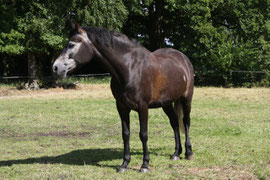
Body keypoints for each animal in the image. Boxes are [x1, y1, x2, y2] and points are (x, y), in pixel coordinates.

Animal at [52, 22, 194, 173]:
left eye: (72, 44)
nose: (55, 67)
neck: (129, 68)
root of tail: (183, 58)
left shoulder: (142, 107)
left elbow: (143, 134)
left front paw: (145, 165)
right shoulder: (121, 106)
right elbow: (125, 134)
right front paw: (124, 164)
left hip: (186, 99)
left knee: (185, 122)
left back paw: (189, 153)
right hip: (166, 103)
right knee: (174, 123)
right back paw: (176, 154)